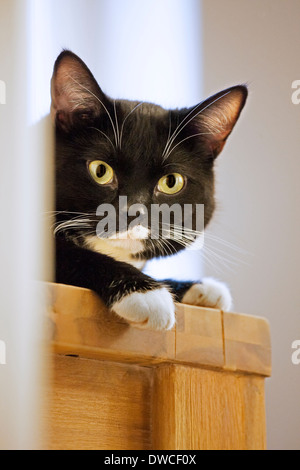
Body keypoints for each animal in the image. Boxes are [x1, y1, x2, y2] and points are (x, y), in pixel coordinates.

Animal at [50, 50, 247, 330]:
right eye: (100, 170)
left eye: (171, 181)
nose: (134, 211)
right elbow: (67, 254)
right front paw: (144, 292)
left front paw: (198, 287)